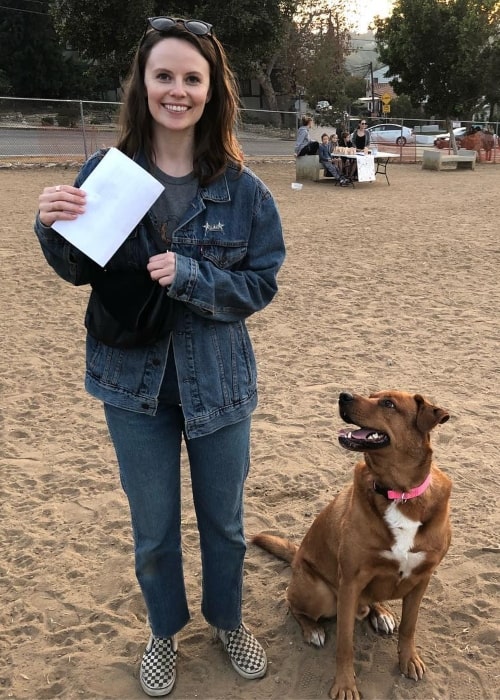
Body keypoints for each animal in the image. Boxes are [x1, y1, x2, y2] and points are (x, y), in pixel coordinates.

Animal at [254, 392, 454, 696]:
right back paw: (312, 629)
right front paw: (345, 685)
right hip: (320, 593)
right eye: (371, 394)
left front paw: (408, 660)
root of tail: (297, 555)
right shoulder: (350, 581)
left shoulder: (422, 578)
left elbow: (409, 626)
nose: (343, 396)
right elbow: (344, 644)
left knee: (372, 602)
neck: (399, 494)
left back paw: (380, 613)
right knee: (292, 604)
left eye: (388, 403)